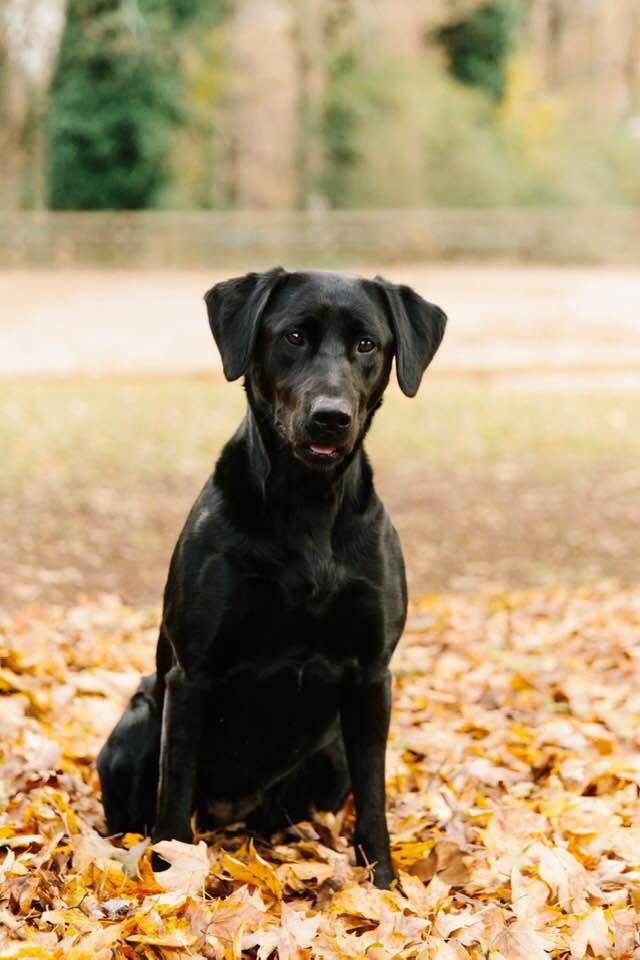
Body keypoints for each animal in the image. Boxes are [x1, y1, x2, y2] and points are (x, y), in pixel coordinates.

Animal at [97, 268, 448, 884]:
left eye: (367, 344)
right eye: (293, 337)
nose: (331, 416)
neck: (306, 504)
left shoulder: (372, 675)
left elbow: (374, 798)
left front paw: (382, 883)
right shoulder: (191, 675)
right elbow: (173, 798)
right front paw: (171, 883)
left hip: (329, 756)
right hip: (139, 721)